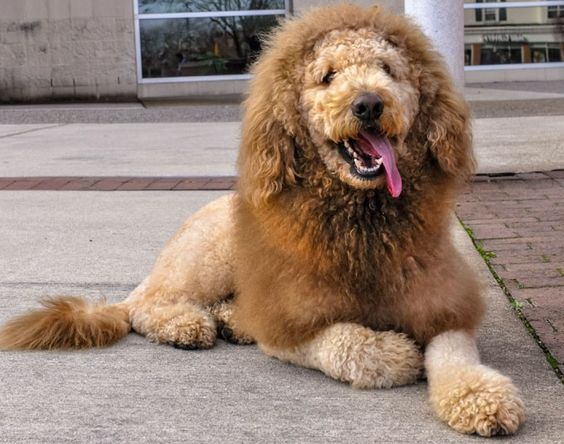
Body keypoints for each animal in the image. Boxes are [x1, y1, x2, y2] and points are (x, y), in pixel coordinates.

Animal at [2, 4, 528, 438]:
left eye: (388, 69)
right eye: (327, 76)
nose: (368, 103)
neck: (363, 225)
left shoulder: (439, 306)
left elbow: (454, 356)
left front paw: (484, 398)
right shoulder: (291, 325)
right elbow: (350, 345)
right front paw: (399, 354)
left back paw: (232, 322)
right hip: (206, 260)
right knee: (147, 306)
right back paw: (187, 325)